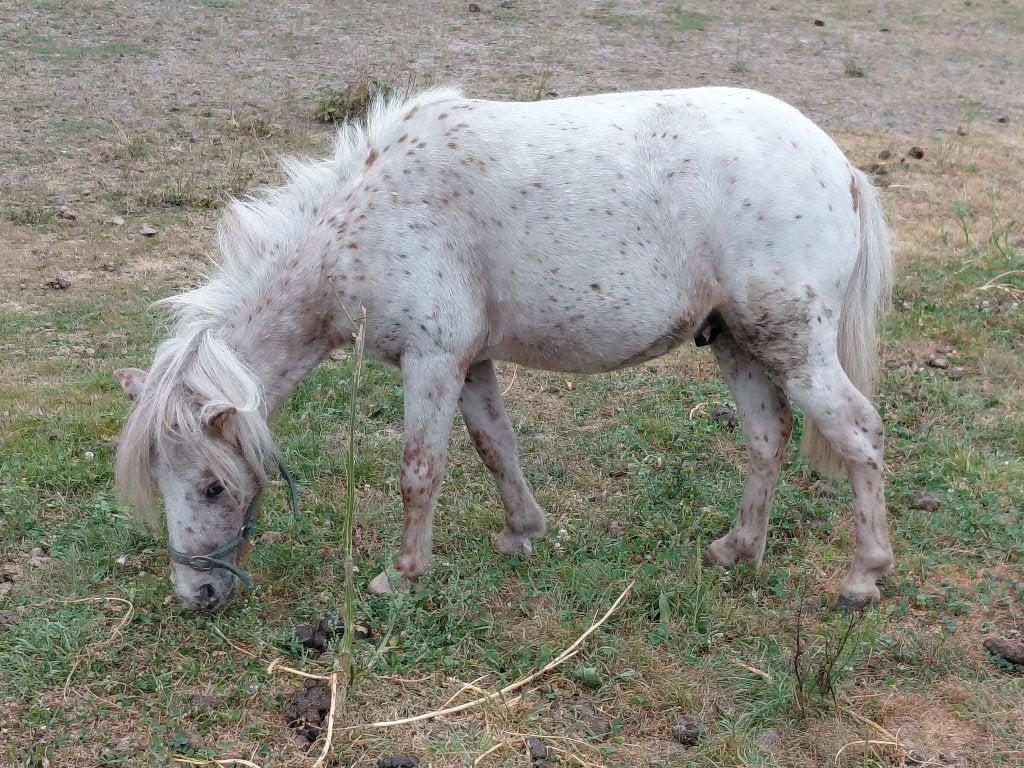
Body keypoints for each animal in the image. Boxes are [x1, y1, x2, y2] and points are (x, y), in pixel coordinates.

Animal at [114, 86, 893, 611]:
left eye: (213, 486)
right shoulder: (470, 363)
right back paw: (736, 550)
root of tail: (838, 164)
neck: (366, 218)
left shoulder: (431, 361)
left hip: (792, 343)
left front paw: (401, 576)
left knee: (857, 433)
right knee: (767, 437)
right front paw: (523, 532)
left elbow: (419, 471)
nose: (194, 595)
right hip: (737, 342)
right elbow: (496, 446)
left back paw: (862, 578)